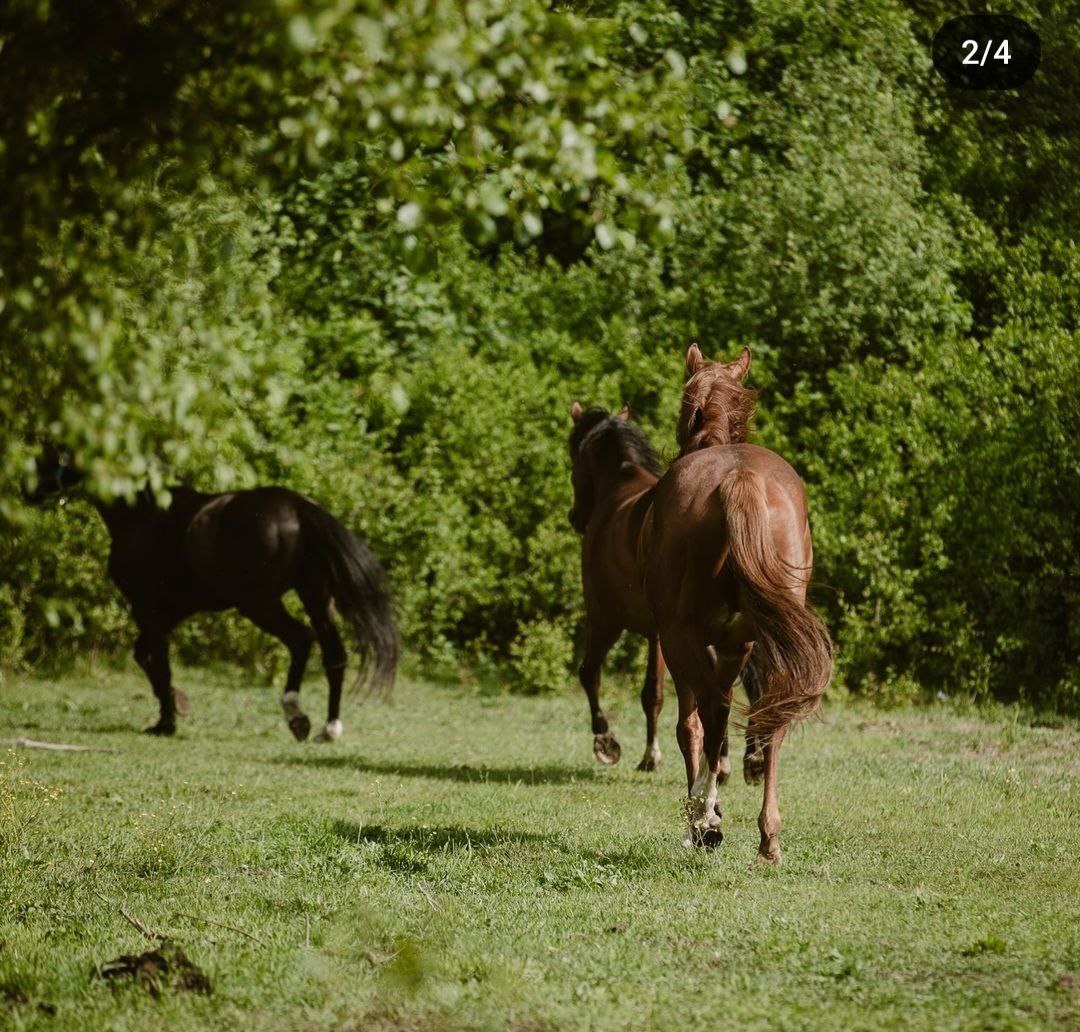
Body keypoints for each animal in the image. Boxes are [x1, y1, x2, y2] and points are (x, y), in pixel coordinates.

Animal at [31, 459, 399, 742]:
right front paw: (175, 705)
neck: (143, 513)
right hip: (316, 599)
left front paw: (167, 721)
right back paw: (328, 727)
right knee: (334, 655)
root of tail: (299, 507)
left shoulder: (146, 607)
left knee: (301, 640)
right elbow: (146, 656)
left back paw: (296, 716)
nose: (30, 490)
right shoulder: (172, 611)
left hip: (260, 604)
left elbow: (158, 662)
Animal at [639, 345, 833, 863]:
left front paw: (705, 815)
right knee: (771, 715)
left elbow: (694, 727)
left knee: (710, 714)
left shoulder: (681, 644)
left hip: (683, 639)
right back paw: (769, 837)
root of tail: (739, 476)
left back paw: (704, 820)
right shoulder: (735, 647)